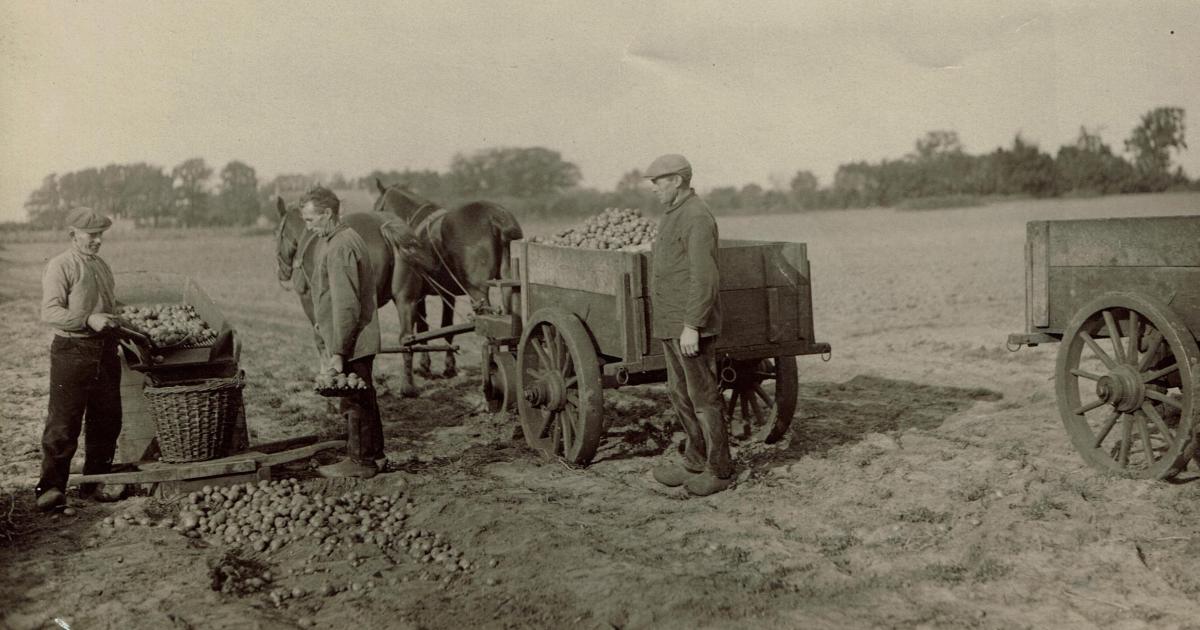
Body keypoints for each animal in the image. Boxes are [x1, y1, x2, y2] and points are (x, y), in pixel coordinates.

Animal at [274, 196, 434, 396]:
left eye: (277, 232)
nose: (282, 273)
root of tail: (383, 226)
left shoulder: (309, 302)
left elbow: (320, 340)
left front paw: (326, 373)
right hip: (406, 300)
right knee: (407, 338)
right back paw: (408, 387)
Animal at [372, 178, 523, 381]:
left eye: (377, 207)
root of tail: (496, 218)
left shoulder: (418, 296)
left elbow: (423, 328)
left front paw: (425, 366)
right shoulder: (447, 294)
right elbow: (447, 327)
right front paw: (449, 367)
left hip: (477, 291)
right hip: (507, 284)